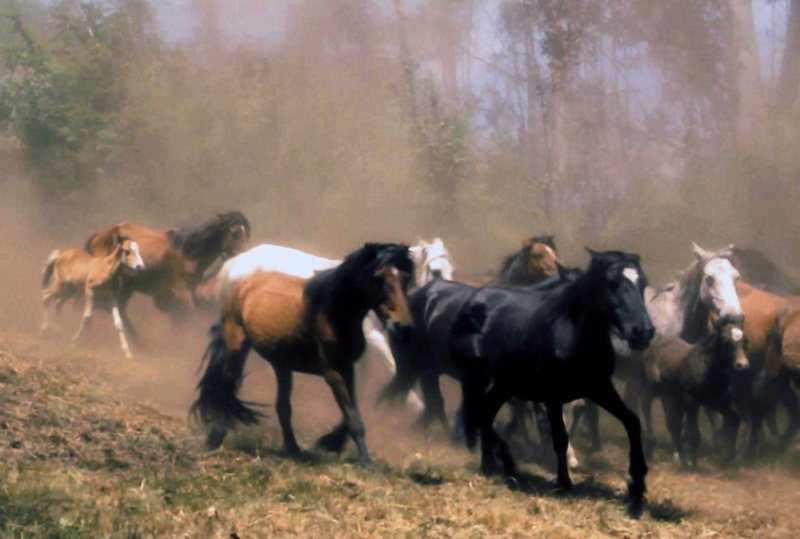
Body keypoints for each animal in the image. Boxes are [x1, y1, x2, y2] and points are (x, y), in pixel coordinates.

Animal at [84, 211, 250, 344]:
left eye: (247, 233)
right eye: (235, 234)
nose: (246, 255)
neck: (188, 253)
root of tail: (98, 235)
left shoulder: (187, 293)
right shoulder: (182, 292)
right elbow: (190, 316)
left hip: (127, 286)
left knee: (120, 308)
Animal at [190, 243, 414, 465]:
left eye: (406, 278)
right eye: (378, 277)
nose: (402, 328)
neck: (332, 311)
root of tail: (238, 279)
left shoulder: (348, 368)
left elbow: (351, 412)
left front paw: (330, 442)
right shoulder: (333, 372)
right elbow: (353, 418)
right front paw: (366, 462)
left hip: (281, 364)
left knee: (282, 407)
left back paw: (294, 450)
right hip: (237, 346)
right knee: (224, 387)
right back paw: (215, 437)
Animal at [453, 249, 654, 515]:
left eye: (643, 283)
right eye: (612, 283)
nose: (643, 332)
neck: (573, 335)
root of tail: (474, 299)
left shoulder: (599, 389)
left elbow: (632, 422)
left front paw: (637, 486)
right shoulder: (552, 397)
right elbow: (559, 437)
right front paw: (563, 483)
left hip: (504, 384)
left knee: (486, 412)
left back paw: (491, 466)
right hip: (477, 379)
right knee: (478, 414)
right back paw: (495, 463)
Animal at [642, 315, 748, 468]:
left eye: (745, 341)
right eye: (726, 341)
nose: (742, 365)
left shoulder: (715, 401)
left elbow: (734, 418)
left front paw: (729, 455)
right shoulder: (691, 401)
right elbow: (693, 433)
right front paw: (693, 463)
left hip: (670, 396)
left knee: (673, 424)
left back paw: (681, 458)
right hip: (653, 387)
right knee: (646, 404)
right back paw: (651, 445)